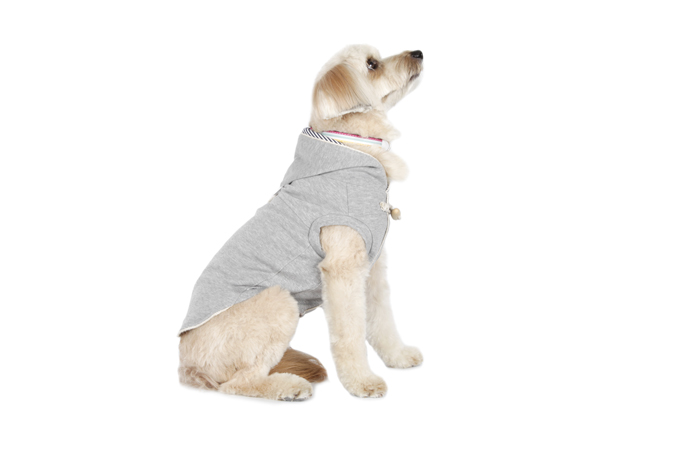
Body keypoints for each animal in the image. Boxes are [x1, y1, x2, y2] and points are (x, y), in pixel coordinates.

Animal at [178, 44, 424, 400]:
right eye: (372, 65)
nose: (418, 52)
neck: (355, 146)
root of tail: (186, 364)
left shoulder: (372, 269)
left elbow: (382, 320)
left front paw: (398, 356)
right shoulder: (342, 272)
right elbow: (349, 334)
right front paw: (362, 382)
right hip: (279, 302)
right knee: (239, 383)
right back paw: (288, 386)